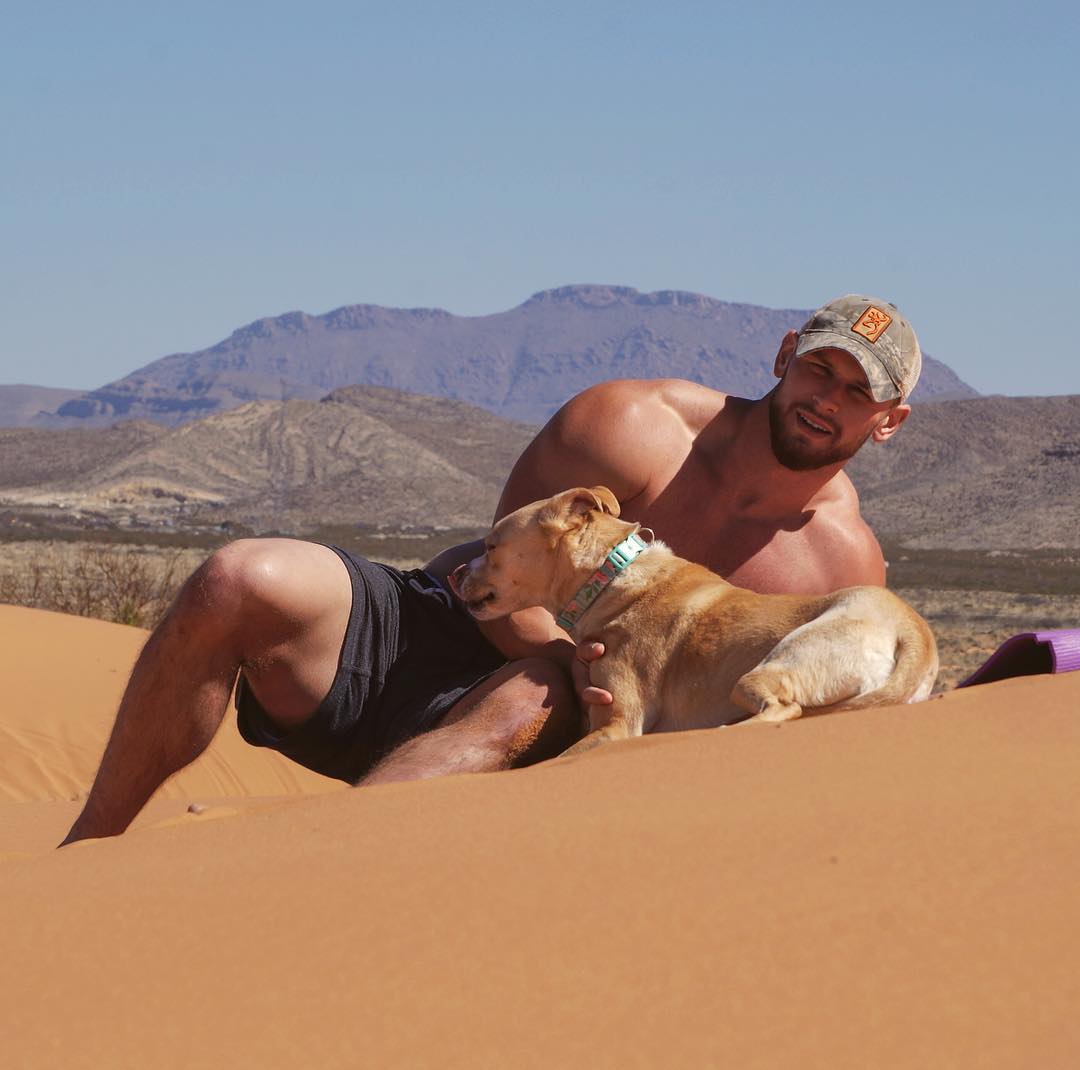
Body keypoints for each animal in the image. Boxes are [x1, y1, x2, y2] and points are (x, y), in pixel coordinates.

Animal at [449, 488, 937, 751]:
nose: (453, 574)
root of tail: (914, 632)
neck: (609, 577)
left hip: (774, 665)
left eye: (491, 546)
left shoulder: (618, 723)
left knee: (783, 710)